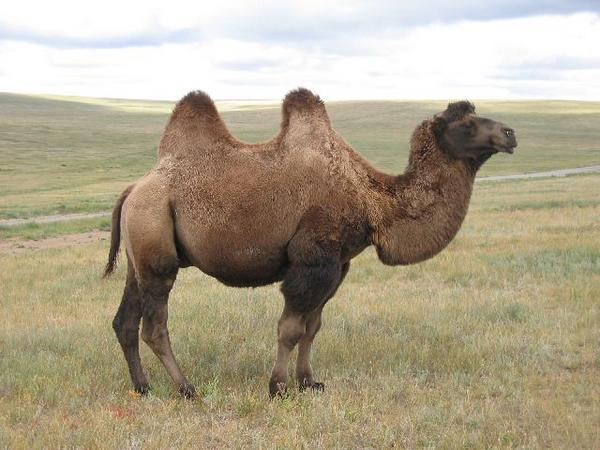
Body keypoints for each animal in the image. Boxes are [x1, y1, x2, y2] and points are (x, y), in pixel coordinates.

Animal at [103, 88, 516, 398]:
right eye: (467, 124)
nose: (510, 133)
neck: (372, 201)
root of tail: (133, 189)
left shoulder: (339, 263)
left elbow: (313, 325)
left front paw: (309, 381)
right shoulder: (312, 258)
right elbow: (291, 327)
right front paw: (278, 387)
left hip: (139, 254)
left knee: (125, 320)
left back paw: (143, 388)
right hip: (156, 245)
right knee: (154, 325)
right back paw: (187, 388)